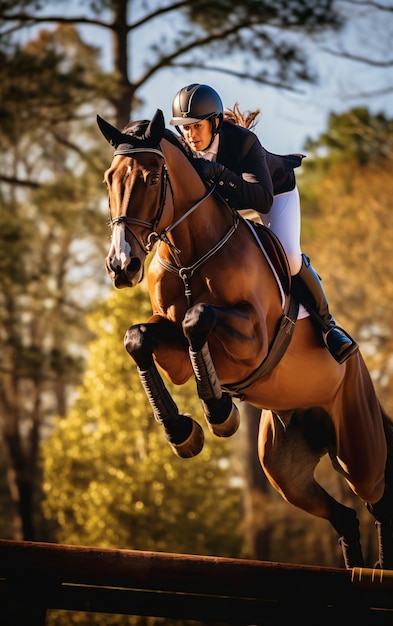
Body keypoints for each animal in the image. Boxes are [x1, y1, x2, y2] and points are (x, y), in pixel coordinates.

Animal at [96, 109, 392, 568]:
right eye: (110, 178)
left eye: (151, 177)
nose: (121, 266)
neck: (190, 255)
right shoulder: (172, 349)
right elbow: (139, 337)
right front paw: (182, 431)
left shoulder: (251, 339)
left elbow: (197, 319)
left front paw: (219, 412)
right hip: (283, 467)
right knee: (343, 515)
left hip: (358, 447)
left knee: (379, 499)